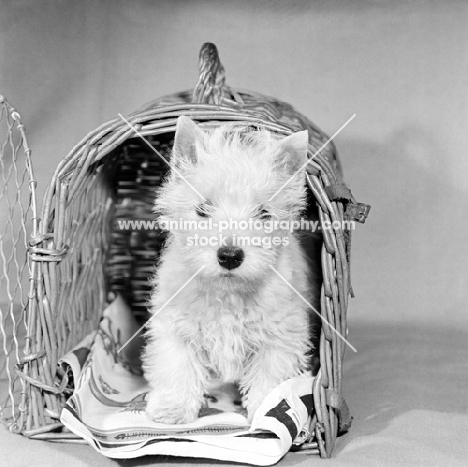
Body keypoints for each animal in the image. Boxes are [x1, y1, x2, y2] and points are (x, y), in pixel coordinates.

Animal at [143, 116, 318, 424]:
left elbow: (270, 378)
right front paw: (171, 410)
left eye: (264, 214)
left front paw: (269, 412)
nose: (229, 256)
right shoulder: (175, 328)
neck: (228, 292)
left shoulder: (281, 336)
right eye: (203, 209)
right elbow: (177, 367)